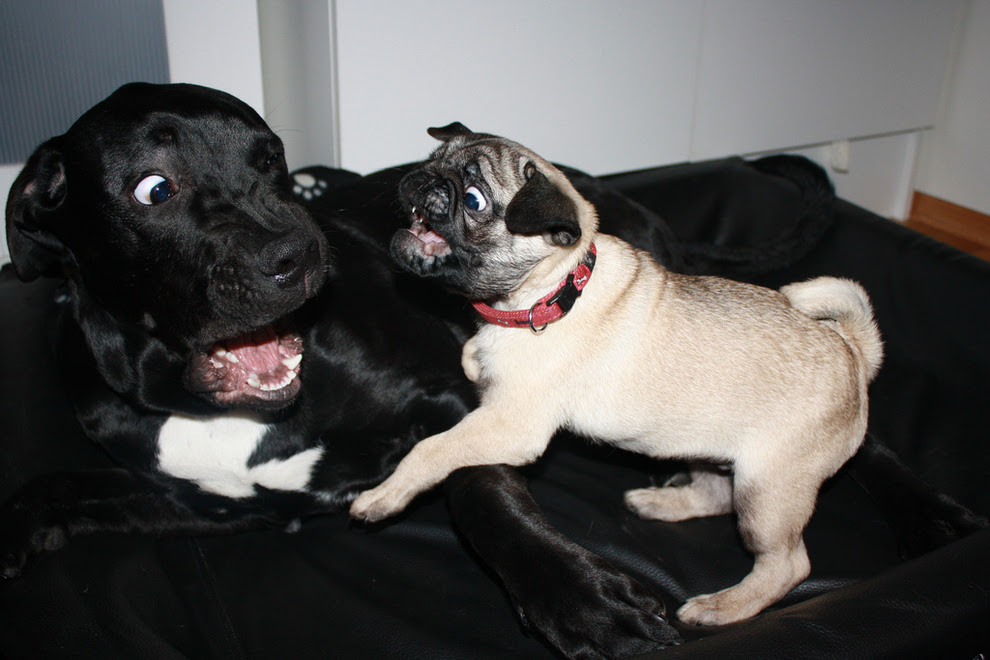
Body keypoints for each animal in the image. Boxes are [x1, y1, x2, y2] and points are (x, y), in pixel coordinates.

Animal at [1, 84, 682, 658]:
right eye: (154, 189)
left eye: (271, 161)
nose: (300, 255)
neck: (214, 408)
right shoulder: (209, 506)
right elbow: (67, 484)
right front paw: (20, 527)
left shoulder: (452, 399)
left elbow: (480, 486)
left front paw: (577, 597)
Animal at [349, 123, 885, 626]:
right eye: (432, 157)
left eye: (474, 199)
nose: (424, 179)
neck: (551, 291)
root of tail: (852, 350)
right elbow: (467, 362)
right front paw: (473, 359)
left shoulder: (508, 427)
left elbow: (431, 449)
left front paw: (382, 495)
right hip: (712, 451)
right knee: (716, 495)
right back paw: (660, 504)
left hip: (769, 489)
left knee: (787, 565)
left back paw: (721, 607)